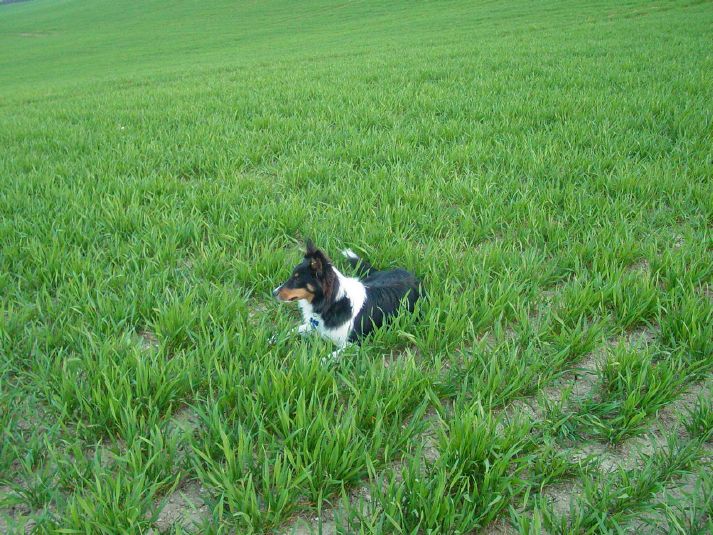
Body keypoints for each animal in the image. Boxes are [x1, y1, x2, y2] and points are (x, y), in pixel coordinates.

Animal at [270, 241, 420, 358]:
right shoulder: (314, 326)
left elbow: (328, 357)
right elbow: (292, 330)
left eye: (297, 278)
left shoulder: (355, 345)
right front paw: (273, 338)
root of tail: (408, 273)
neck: (332, 304)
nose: (273, 293)